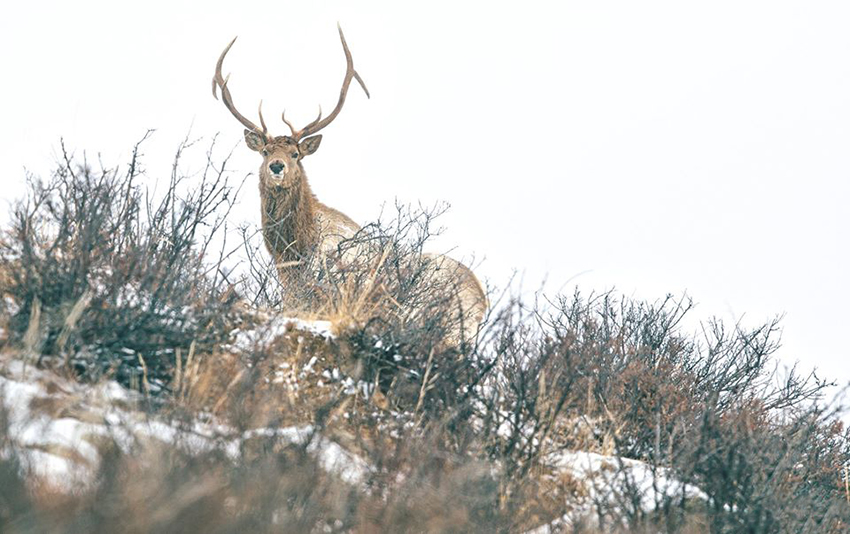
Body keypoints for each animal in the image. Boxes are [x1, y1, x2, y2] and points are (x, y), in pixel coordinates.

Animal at [212, 26, 486, 343]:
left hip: (451, 331)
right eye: (266, 151)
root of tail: (482, 299)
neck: (292, 251)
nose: (276, 166)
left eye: (295, 154)